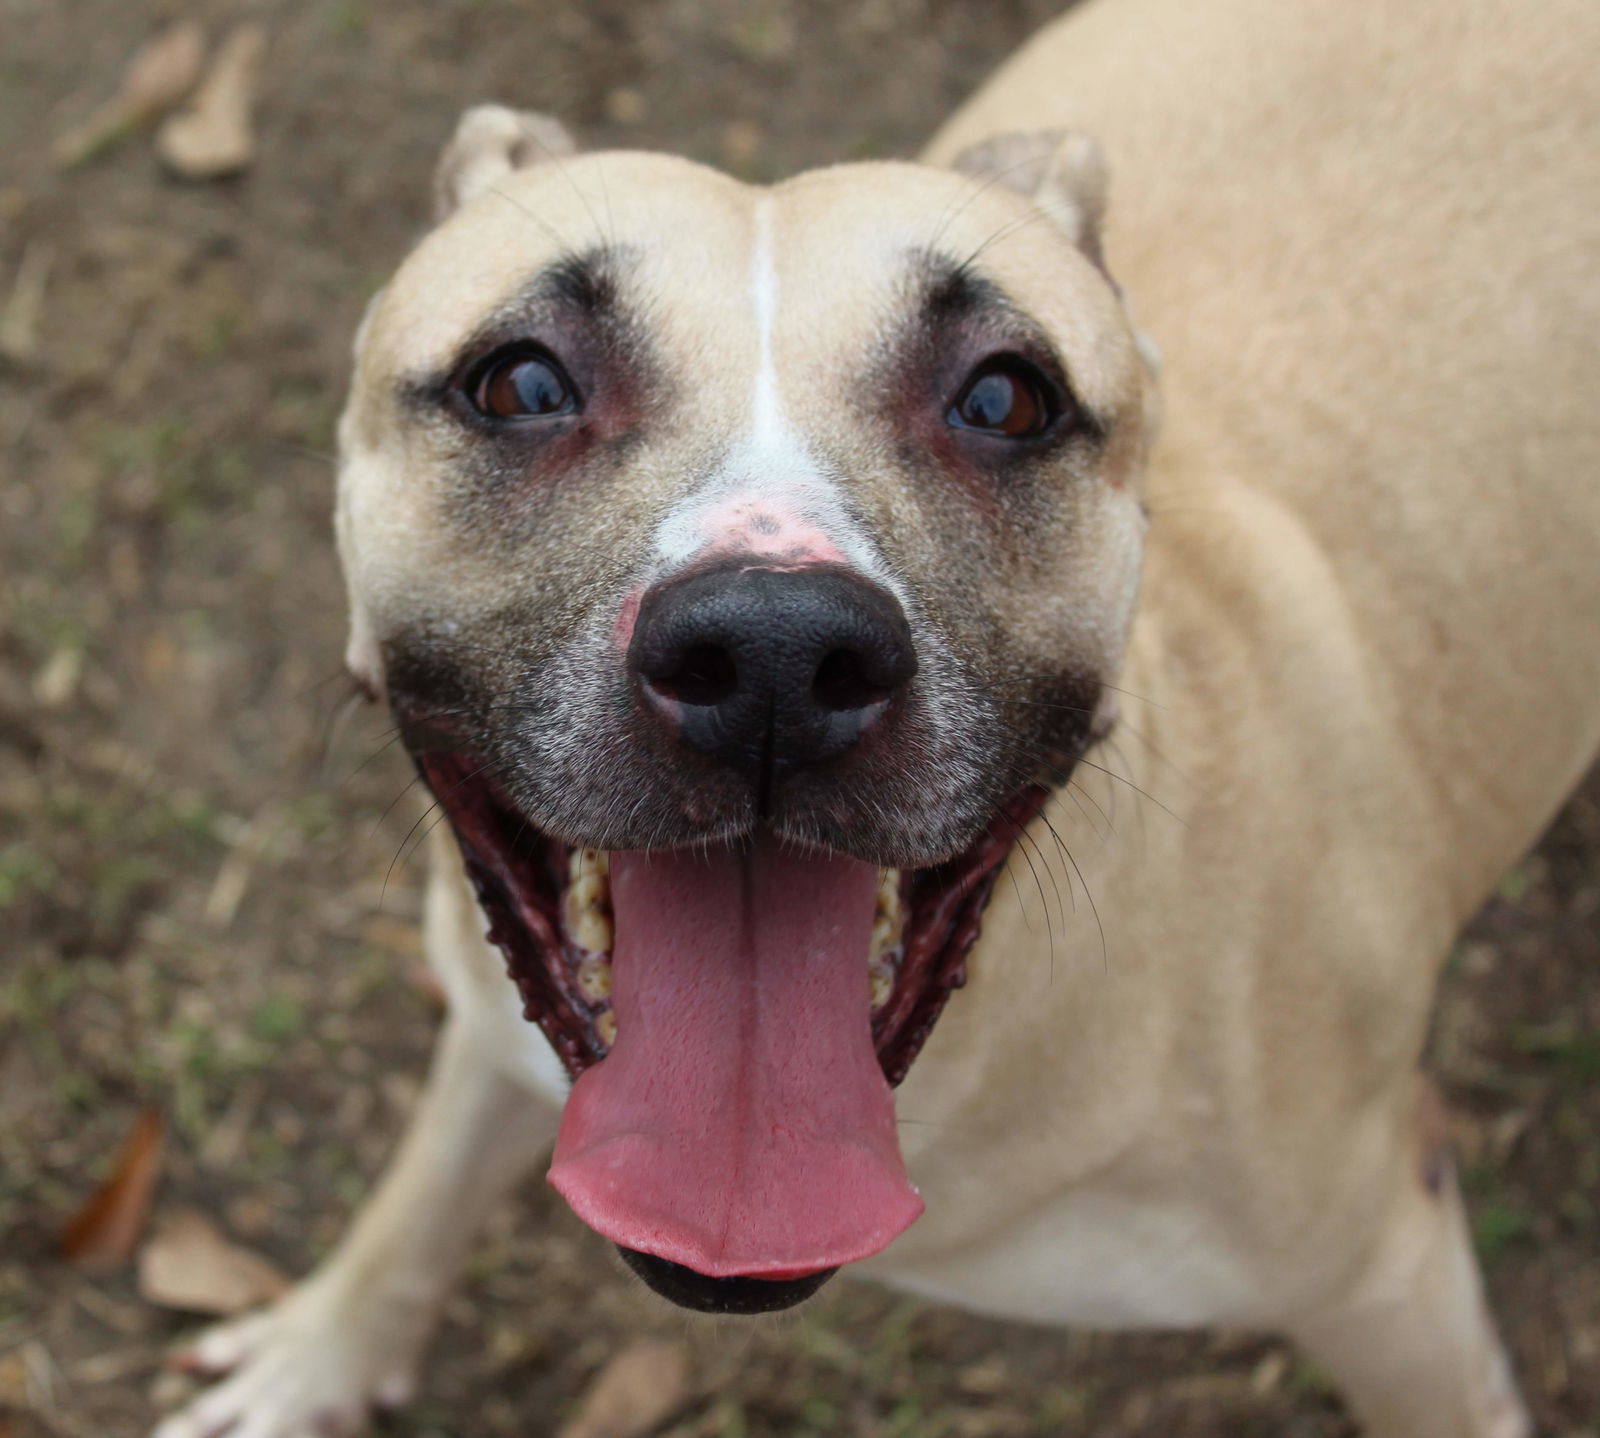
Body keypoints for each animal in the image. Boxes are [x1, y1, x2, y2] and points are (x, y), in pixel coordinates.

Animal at [152, 0, 1600, 1433]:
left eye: (1006, 396)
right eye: (520, 383)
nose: (773, 654)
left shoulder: (1388, 1276)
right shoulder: (488, 1034)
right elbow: (420, 1196)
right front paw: (319, 1356)